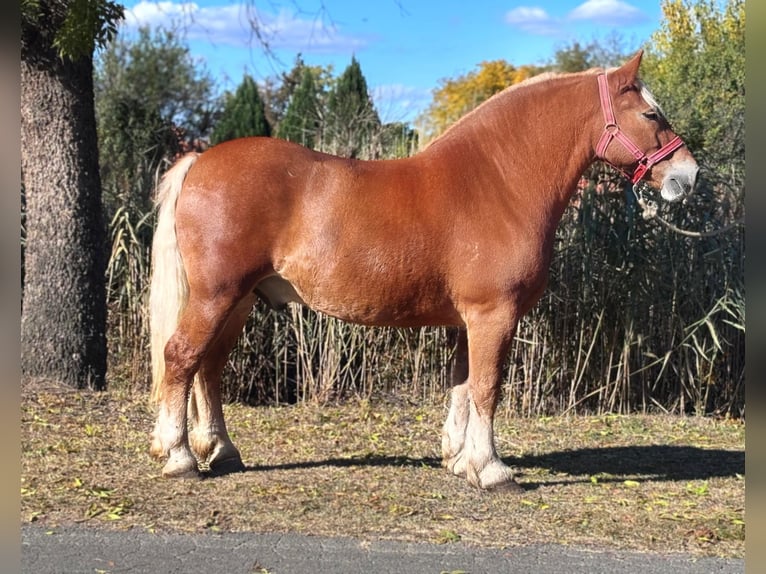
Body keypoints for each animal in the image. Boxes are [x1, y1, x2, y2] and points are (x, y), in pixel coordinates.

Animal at [147, 50, 698, 491]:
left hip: (238, 300)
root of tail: (199, 161)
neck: (498, 181)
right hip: (216, 296)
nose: (688, 175)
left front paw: (459, 460)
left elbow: (462, 385)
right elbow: (487, 387)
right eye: (651, 112)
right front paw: (491, 470)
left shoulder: (468, 321)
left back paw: (221, 451)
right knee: (181, 358)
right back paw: (179, 457)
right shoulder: (493, 316)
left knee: (209, 368)